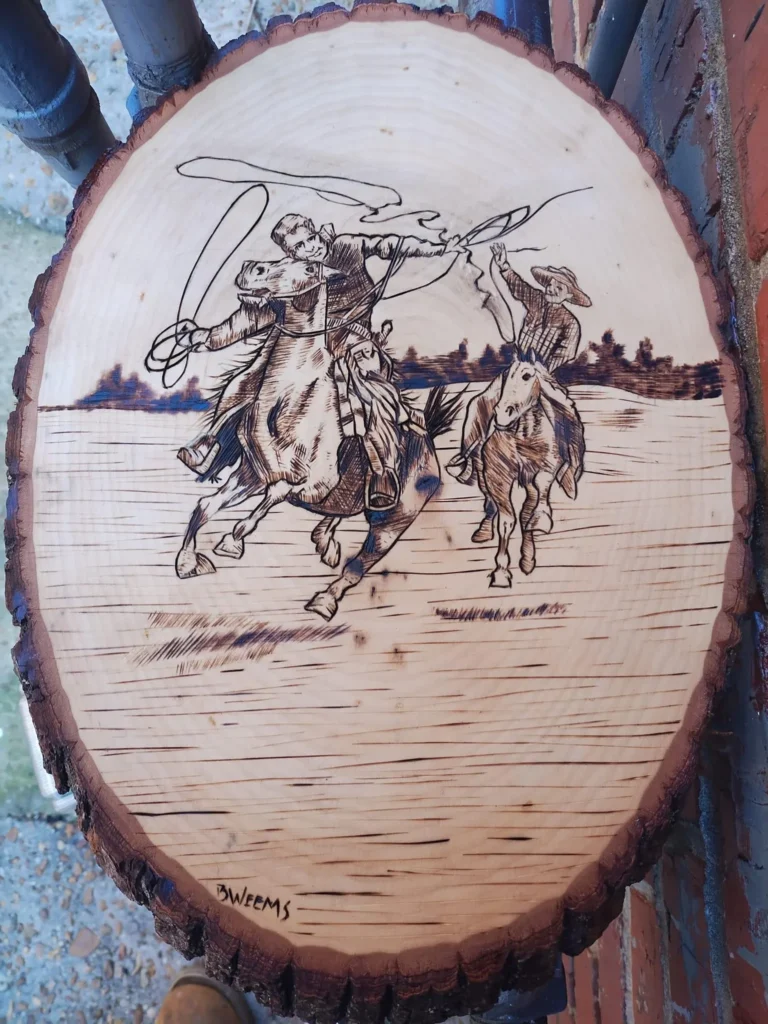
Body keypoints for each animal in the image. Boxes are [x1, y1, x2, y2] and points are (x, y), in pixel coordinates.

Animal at [174, 257, 460, 620]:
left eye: (309, 268)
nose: (251, 267)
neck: (292, 402)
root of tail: (428, 444)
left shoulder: (310, 484)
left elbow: (271, 498)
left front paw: (231, 541)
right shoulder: (250, 476)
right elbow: (206, 506)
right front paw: (187, 562)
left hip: (390, 525)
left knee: (357, 567)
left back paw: (324, 601)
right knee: (336, 520)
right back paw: (324, 541)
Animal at [468, 358, 585, 588]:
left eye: (526, 376)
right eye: (506, 376)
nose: (502, 413)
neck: (525, 434)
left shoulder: (546, 467)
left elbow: (536, 500)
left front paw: (540, 522)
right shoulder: (497, 475)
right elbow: (506, 520)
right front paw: (501, 572)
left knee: (526, 509)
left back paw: (528, 559)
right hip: (481, 468)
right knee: (490, 501)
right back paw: (484, 531)